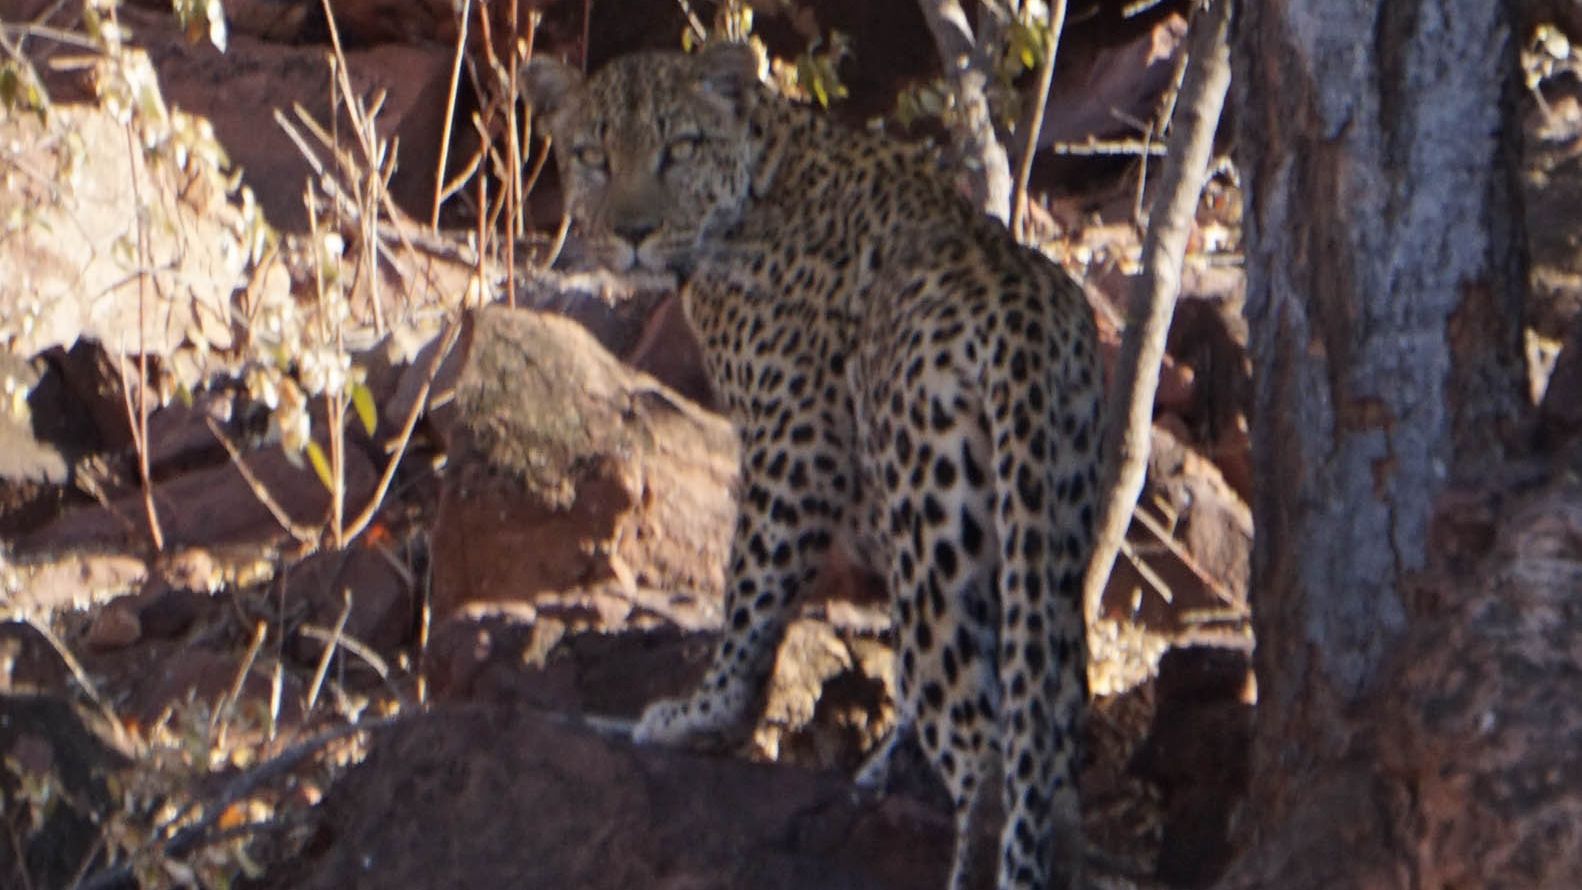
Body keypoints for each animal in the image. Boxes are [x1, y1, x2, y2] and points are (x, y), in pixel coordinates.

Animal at [525, 43, 1104, 890]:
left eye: (679, 149)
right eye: (592, 156)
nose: (632, 232)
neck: (761, 172)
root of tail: (1018, 316)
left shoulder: (795, 445)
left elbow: (748, 596)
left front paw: (700, 715)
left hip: (934, 529)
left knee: (986, 745)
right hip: (1049, 527)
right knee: (1049, 730)